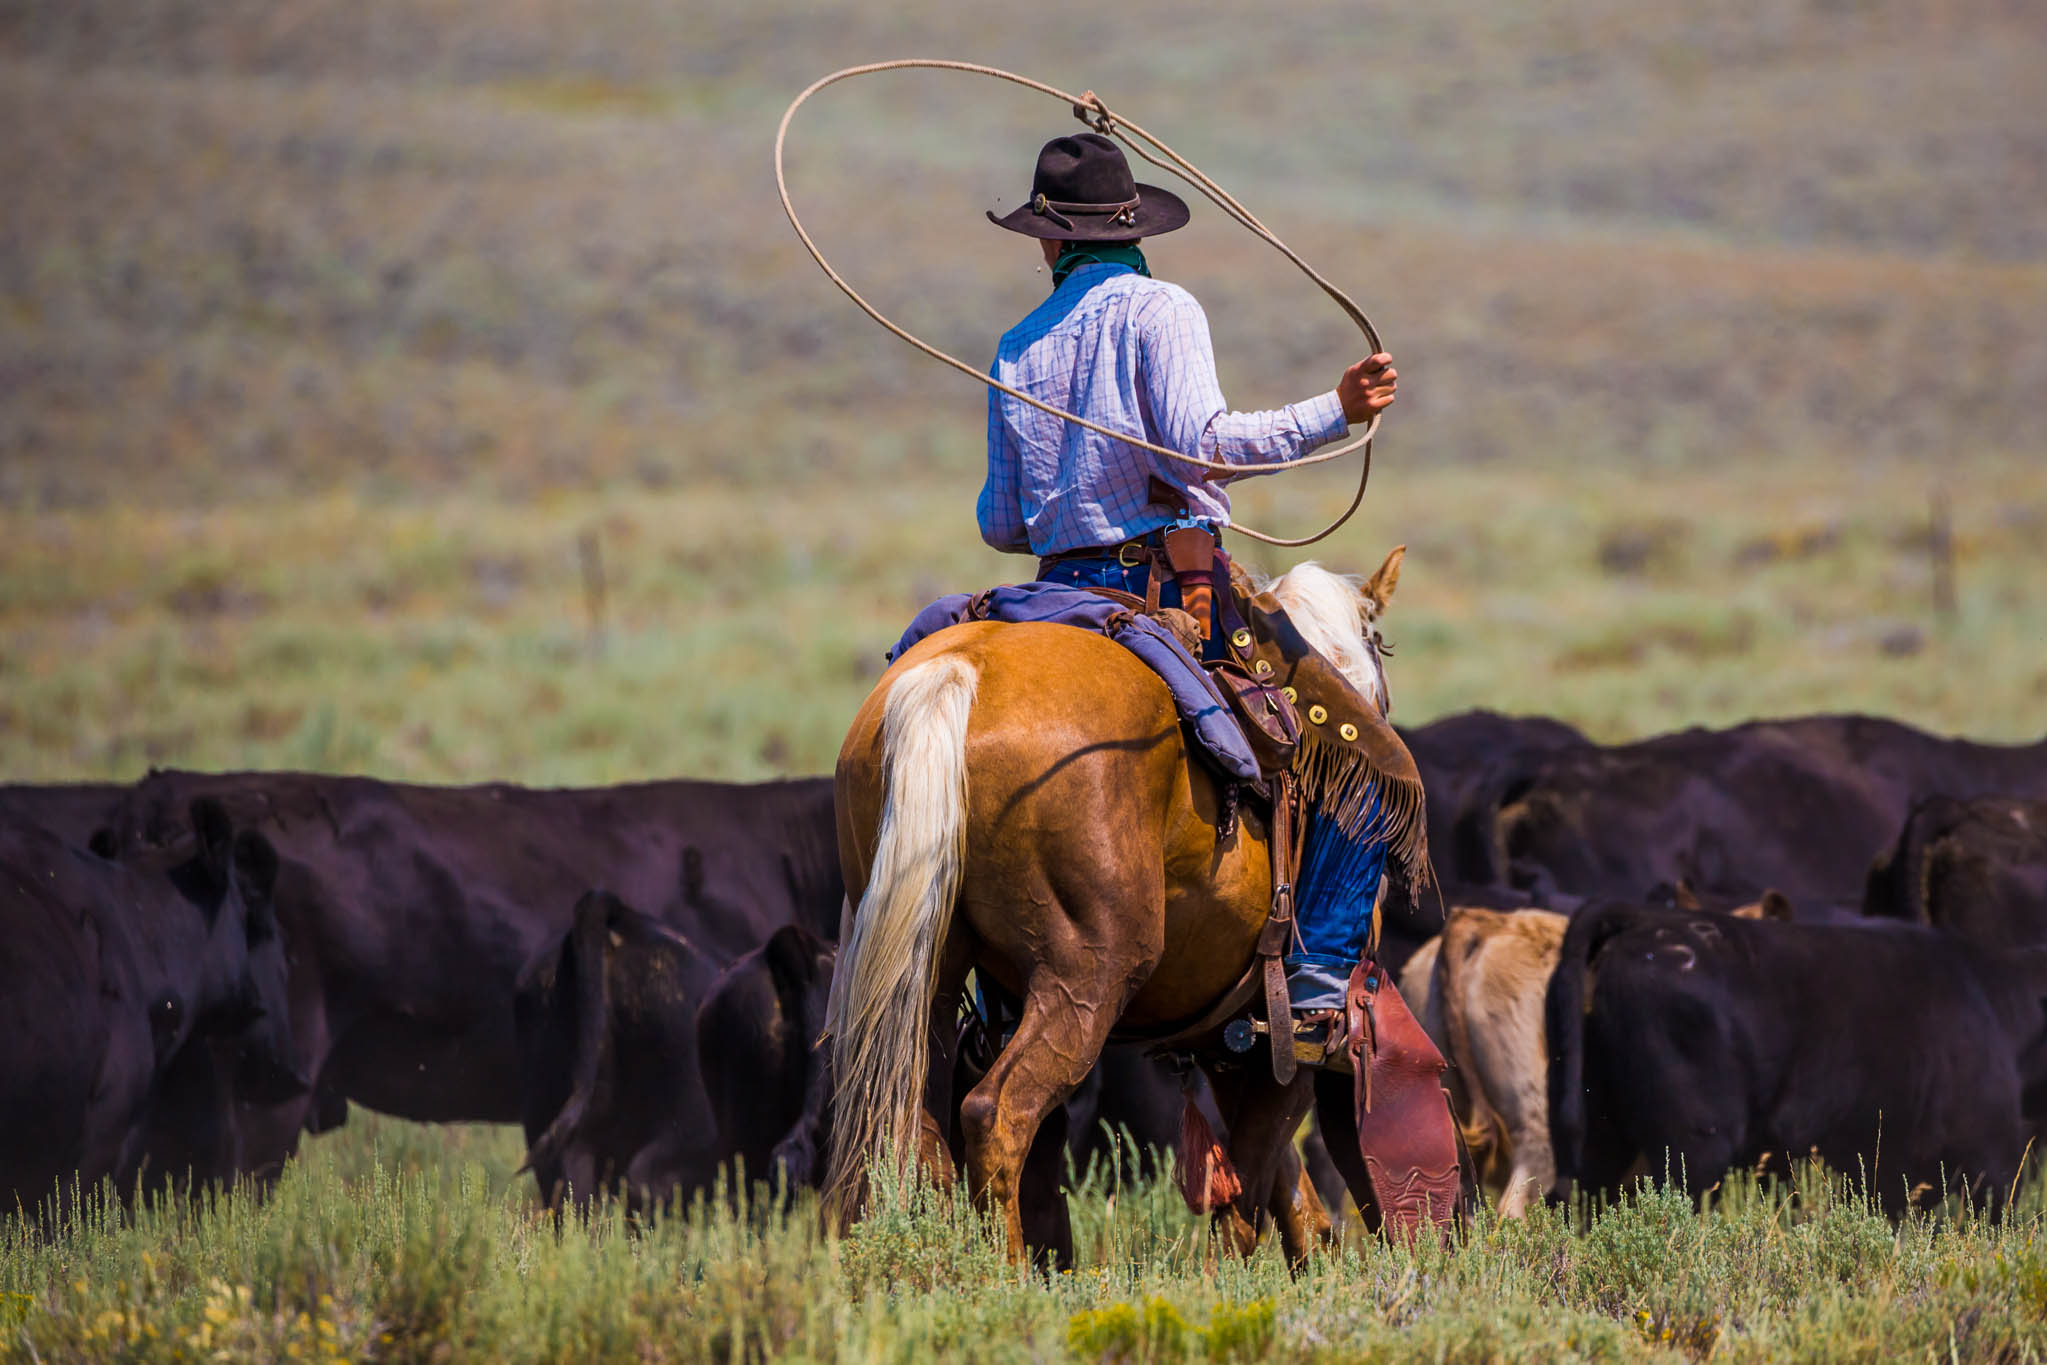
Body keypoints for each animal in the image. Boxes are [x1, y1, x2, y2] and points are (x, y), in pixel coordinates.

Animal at [822, 556, 1400, 1260]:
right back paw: (1008, 1272)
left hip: (930, 975)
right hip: (1089, 978)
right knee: (996, 1113)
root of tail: (955, 673)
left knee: (923, 1126)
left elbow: (1275, 1184)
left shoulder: (1226, 1038)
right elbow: (1252, 1180)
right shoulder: (1277, 1038)